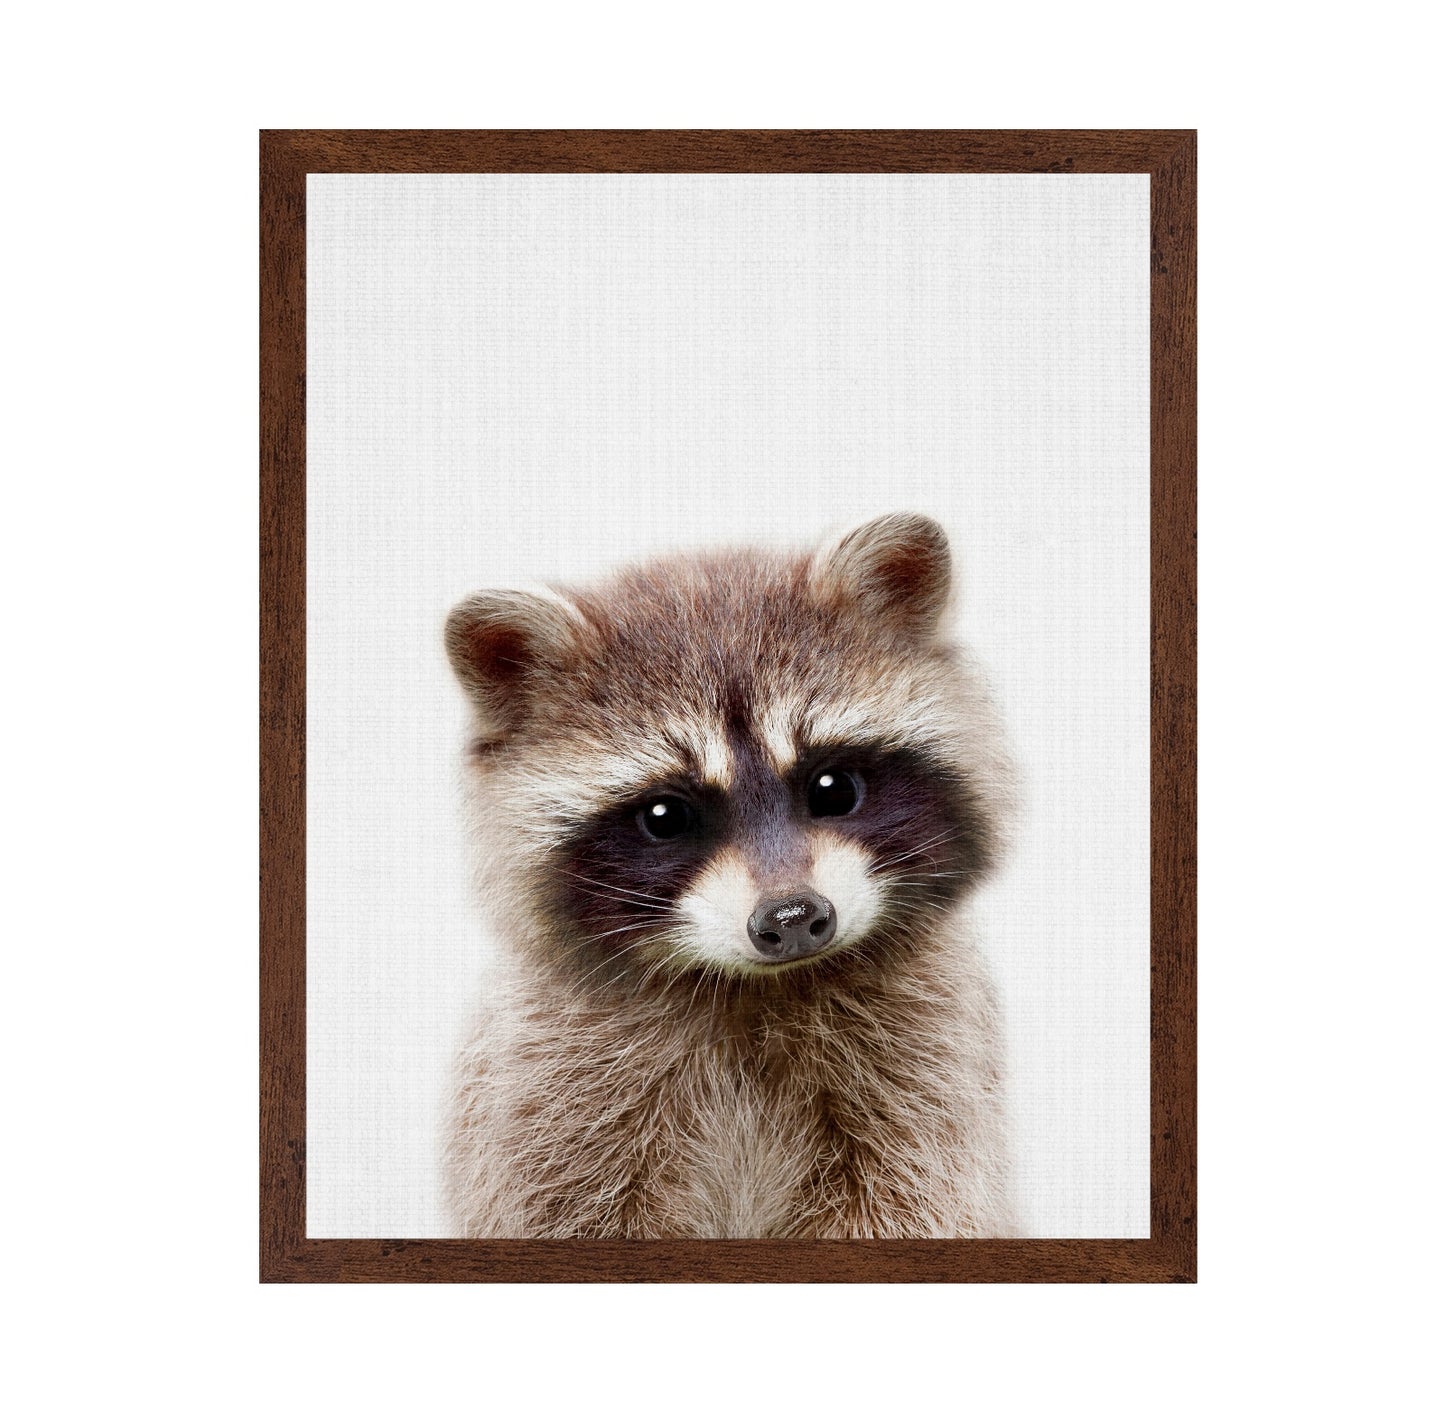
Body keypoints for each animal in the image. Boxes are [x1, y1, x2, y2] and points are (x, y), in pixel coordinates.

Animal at [443, 513, 1019, 1238]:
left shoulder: (927, 1072)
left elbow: (910, 1201)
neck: (754, 989)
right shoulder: (547, 1092)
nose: (793, 918)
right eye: (665, 816)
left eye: (833, 787)